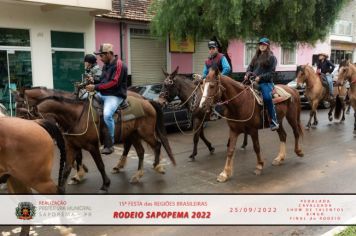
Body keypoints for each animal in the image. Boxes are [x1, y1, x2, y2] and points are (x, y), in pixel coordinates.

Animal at [32, 91, 175, 193]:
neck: (76, 117)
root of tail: (146, 101)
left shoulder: (92, 146)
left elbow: (100, 165)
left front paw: (105, 185)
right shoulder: (72, 147)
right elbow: (67, 168)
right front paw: (62, 188)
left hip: (146, 133)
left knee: (157, 145)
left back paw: (157, 166)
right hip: (133, 135)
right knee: (140, 151)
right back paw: (136, 174)